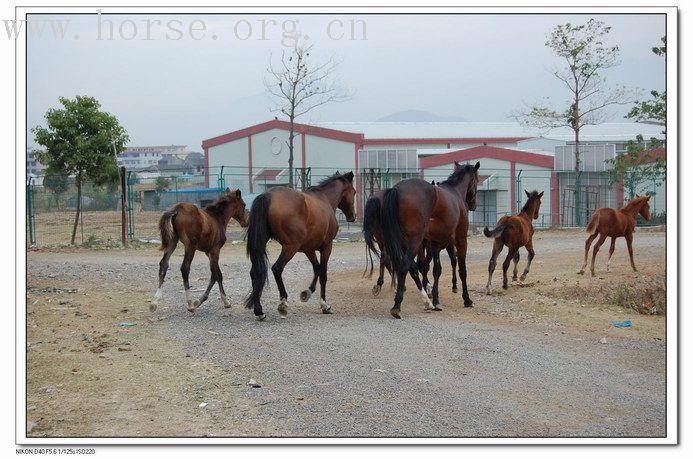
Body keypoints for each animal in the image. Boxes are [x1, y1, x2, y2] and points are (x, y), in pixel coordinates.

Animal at [243, 172, 354, 320]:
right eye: (354, 191)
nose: (353, 216)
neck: (325, 199)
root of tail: (268, 195)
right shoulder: (327, 247)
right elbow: (323, 274)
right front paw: (325, 306)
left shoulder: (309, 249)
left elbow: (317, 268)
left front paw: (307, 293)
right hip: (291, 247)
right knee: (277, 268)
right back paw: (283, 303)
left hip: (263, 244)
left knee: (255, 272)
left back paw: (259, 311)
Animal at [376, 163, 478, 320]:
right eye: (477, 181)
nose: (473, 204)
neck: (455, 192)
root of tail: (396, 189)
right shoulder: (460, 240)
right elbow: (462, 271)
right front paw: (467, 299)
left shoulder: (435, 243)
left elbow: (436, 270)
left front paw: (436, 300)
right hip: (415, 240)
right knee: (405, 265)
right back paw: (397, 305)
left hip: (404, 242)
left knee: (407, 266)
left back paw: (422, 300)